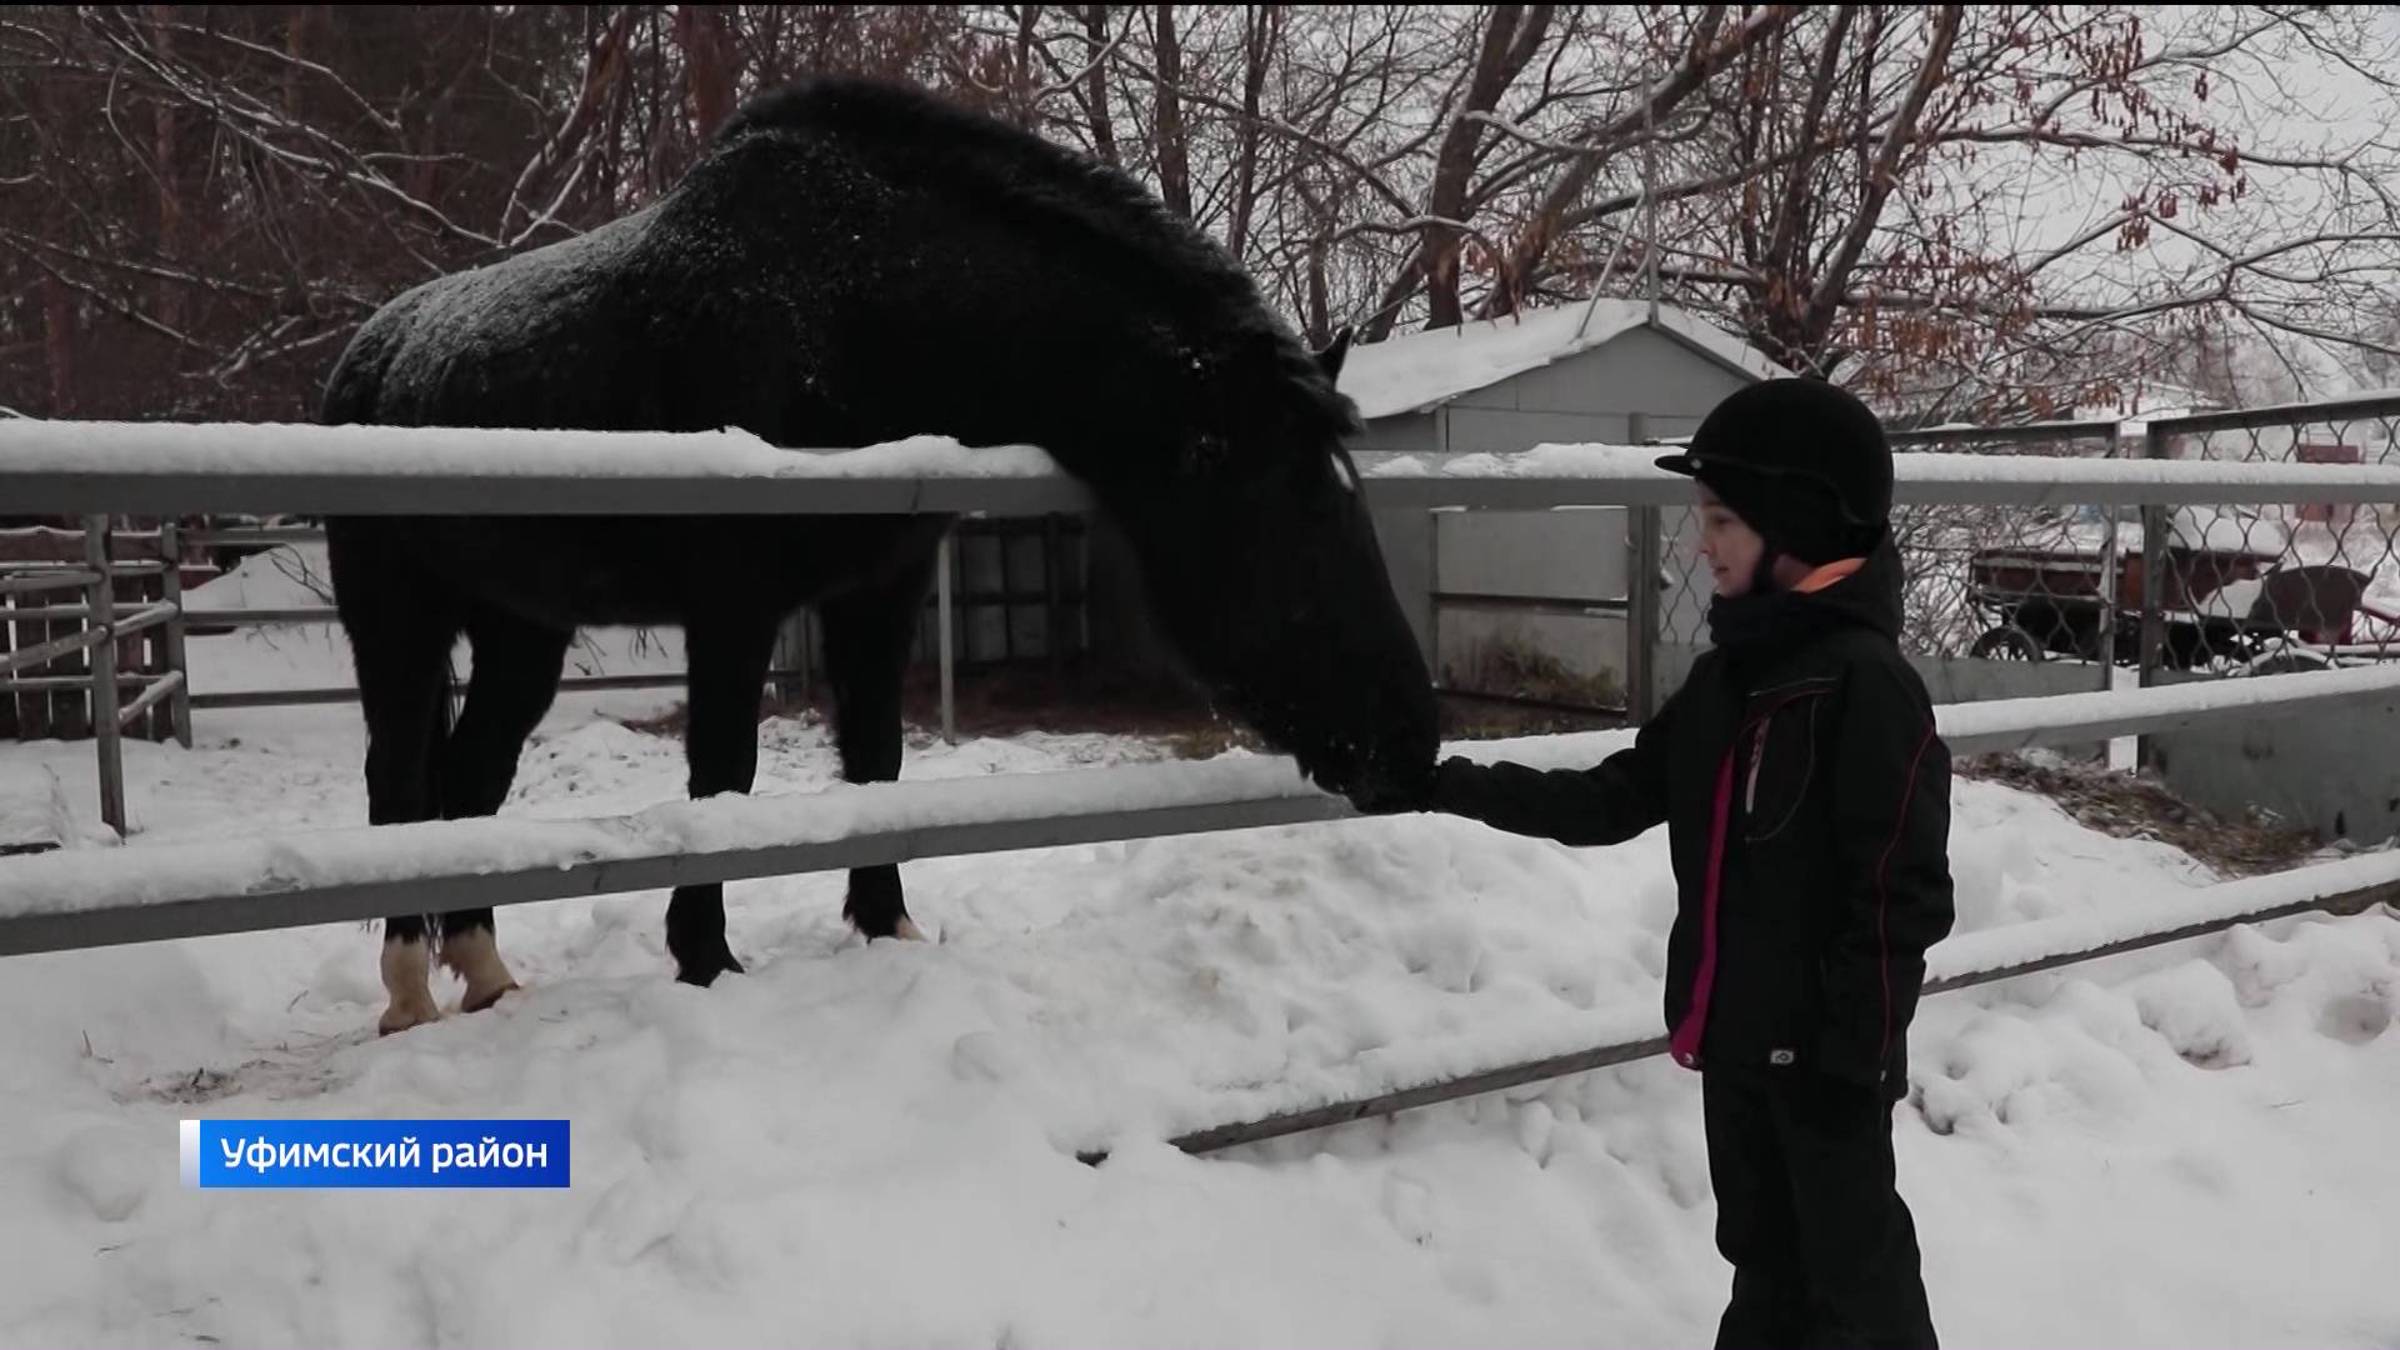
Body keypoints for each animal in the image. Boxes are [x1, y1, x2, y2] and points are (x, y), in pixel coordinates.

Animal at [326, 78, 1430, 1032]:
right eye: (1285, 521)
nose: (1408, 741)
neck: (856, 307)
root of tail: (370, 355)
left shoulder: (879, 592)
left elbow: (877, 760)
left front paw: (887, 925)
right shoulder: (734, 609)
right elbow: (722, 780)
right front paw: (704, 958)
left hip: (523, 634)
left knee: (470, 780)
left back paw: (486, 974)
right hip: (399, 626)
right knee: (400, 782)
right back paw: (410, 993)